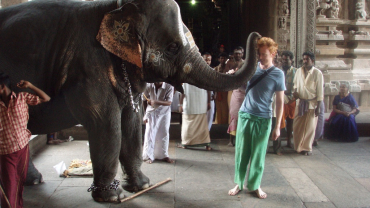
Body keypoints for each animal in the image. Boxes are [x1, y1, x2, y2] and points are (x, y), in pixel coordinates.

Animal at [0, 0, 260, 202]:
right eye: (173, 47)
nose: (257, 35)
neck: (115, 7)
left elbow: (132, 124)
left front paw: (142, 185)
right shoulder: (87, 65)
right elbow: (107, 124)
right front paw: (112, 197)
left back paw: (33, 181)